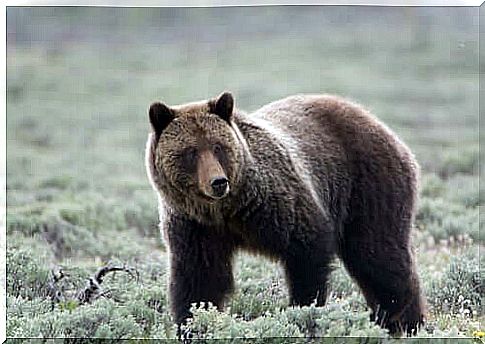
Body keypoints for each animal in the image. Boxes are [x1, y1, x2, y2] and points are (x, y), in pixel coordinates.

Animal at [146, 91, 426, 336]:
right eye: (191, 151)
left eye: (218, 146)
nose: (218, 182)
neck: (227, 211)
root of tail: (380, 124)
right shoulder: (195, 227)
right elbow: (199, 279)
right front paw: (193, 325)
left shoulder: (279, 203)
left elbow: (308, 254)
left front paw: (303, 313)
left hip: (369, 186)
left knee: (379, 256)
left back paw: (406, 323)